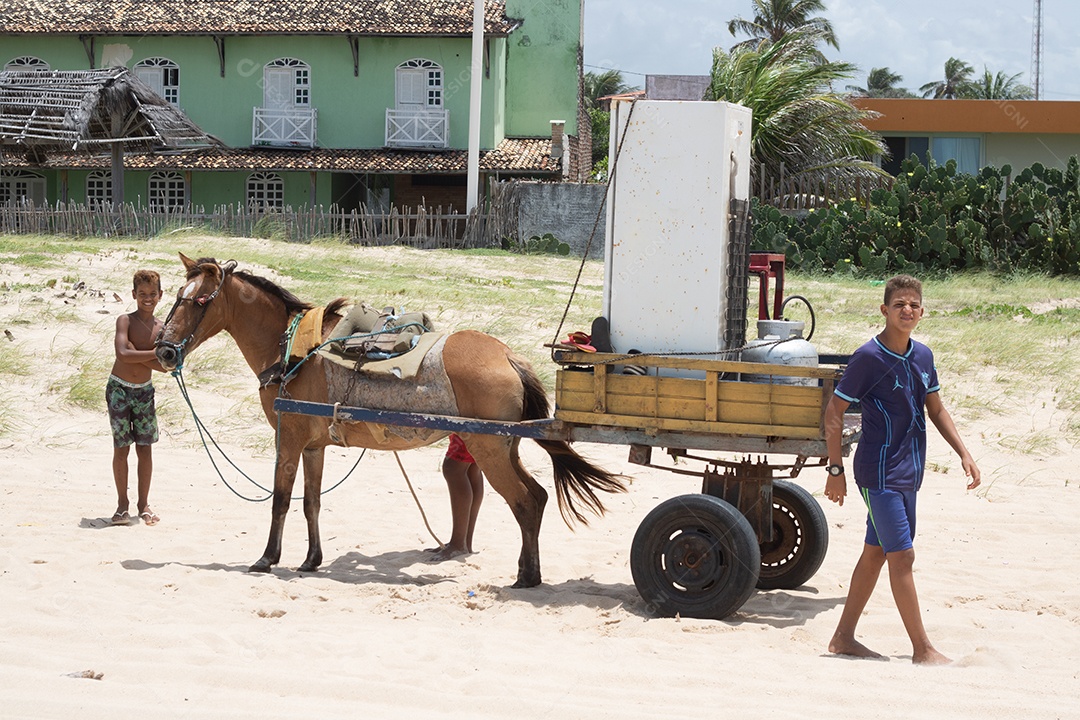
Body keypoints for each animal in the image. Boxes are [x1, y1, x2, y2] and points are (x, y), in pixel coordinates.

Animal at [154, 253, 626, 587]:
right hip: (503, 446)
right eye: (175, 295)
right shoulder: (314, 444)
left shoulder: (288, 439)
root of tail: (509, 355)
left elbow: (281, 500)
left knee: (525, 501)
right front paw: (311, 560)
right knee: (538, 497)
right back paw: (530, 570)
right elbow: (311, 502)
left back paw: (525, 576)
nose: (164, 351)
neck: (292, 350)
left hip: (489, 448)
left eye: (198, 300)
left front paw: (268, 558)